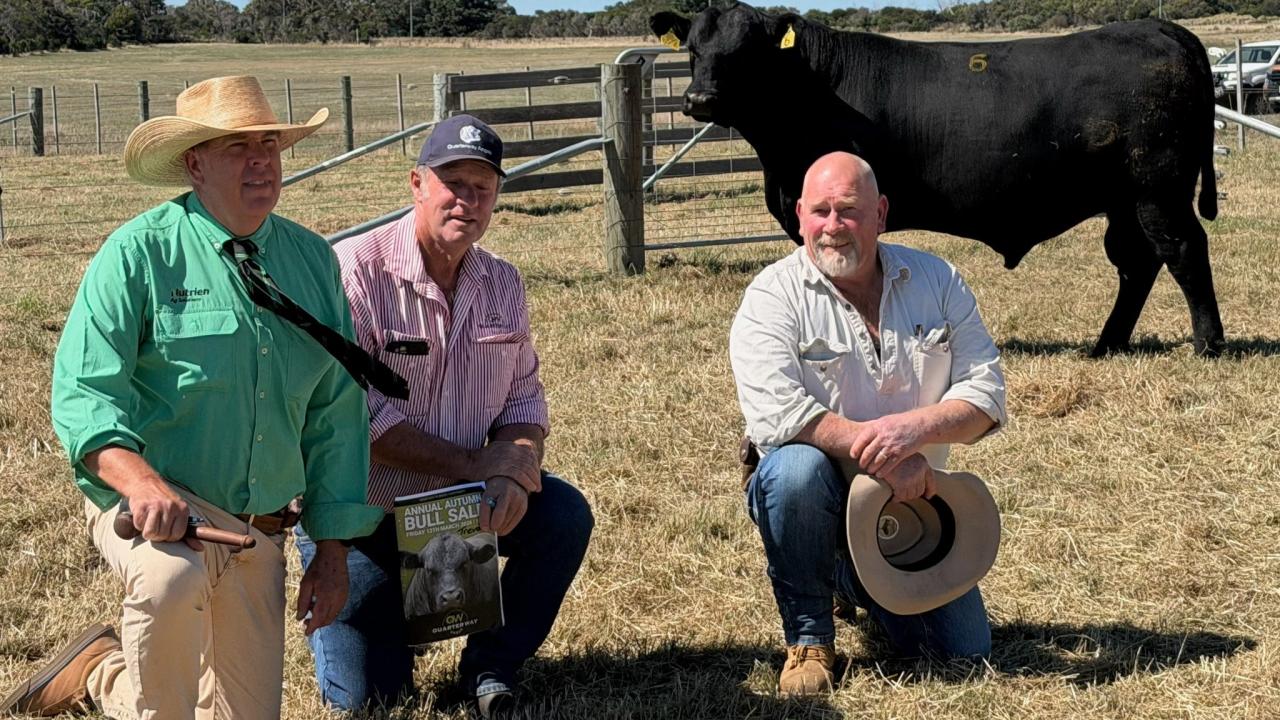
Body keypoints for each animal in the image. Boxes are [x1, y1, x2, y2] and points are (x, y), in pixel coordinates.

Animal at [651, 3, 1226, 357]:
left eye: (746, 51)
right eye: (693, 50)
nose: (699, 98)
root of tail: (1157, 28)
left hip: (1158, 190)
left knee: (1182, 249)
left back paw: (1209, 345)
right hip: (1126, 200)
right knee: (1136, 262)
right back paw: (1107, 343)